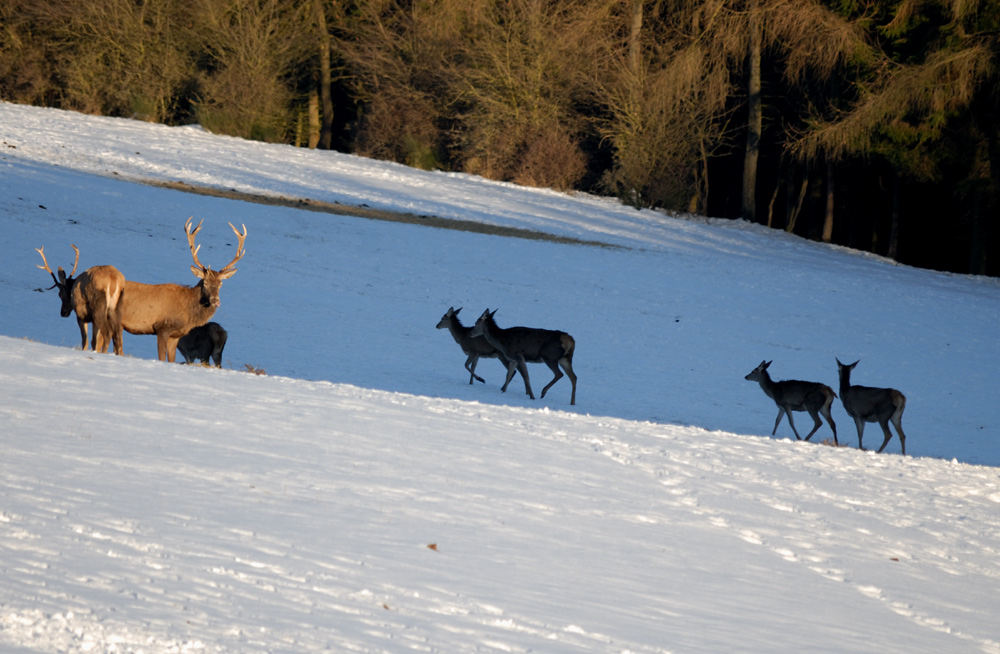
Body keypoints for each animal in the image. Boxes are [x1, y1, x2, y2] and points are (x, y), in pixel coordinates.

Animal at [118, 219, 246, 364]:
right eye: (205, 282)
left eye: (221, 283)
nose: (215, 300)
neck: (187, 312)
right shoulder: (162, 328)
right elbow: (162, 358)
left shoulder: (176, 336)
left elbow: (171, 359)